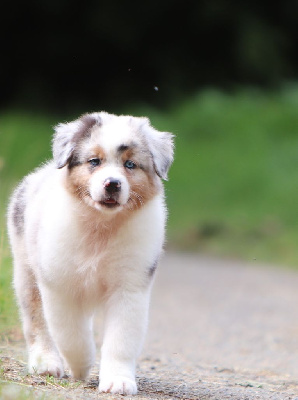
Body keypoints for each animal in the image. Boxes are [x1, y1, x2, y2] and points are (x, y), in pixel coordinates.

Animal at [7, 111, 173, 396]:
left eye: (130, 165)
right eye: (94, 161)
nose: (112, 184)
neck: (101, 228)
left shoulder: (130, 287)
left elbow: (121, 339)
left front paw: (118, 381)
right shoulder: (59, 285)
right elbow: (70, 334)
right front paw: (81, 367)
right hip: (25, 271)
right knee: (36, 322)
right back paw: (46, 362)